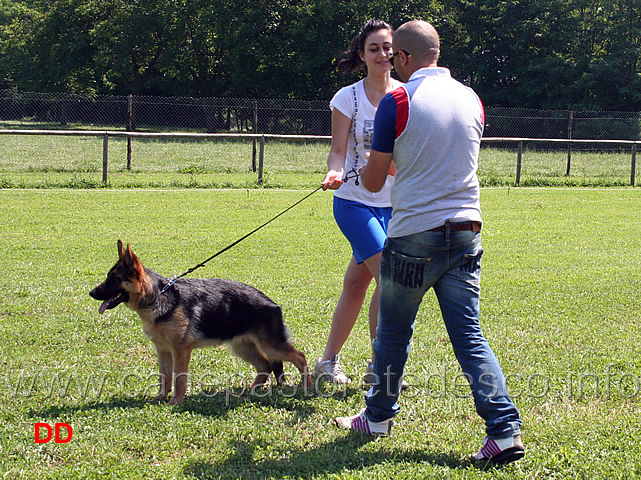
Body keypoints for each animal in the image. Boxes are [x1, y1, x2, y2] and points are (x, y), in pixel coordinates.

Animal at [89, 240, 310, 404]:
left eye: (115, 279)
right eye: (108, 277)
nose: (91, 293)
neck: (158, 296)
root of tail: (272, 303)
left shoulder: (181, 350)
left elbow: (178, 378)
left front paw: (175, 402)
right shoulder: (163, 350)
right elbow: (164, 376)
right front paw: (160, 398)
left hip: (271, 345)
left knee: (299, 357)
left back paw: (307, 387)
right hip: (243, 347)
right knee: (265, 366)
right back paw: (250, 391)